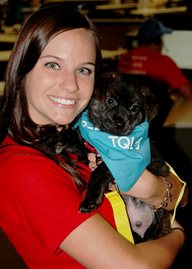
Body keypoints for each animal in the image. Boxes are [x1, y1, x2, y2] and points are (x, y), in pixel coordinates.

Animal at [77, 72, 171, 242]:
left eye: (134, 108)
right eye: (110, 100)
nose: (120, 123)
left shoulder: (154, 162)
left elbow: (101, 170)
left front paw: (90, 200)